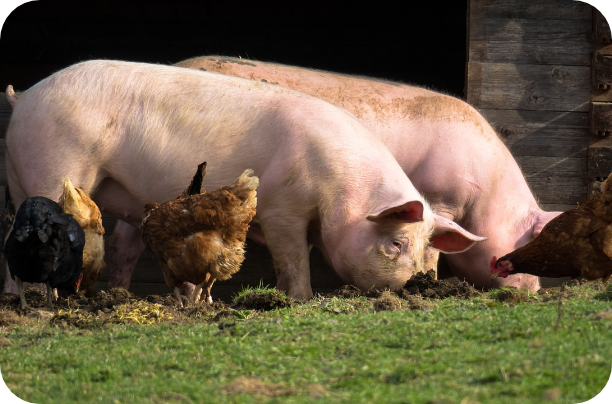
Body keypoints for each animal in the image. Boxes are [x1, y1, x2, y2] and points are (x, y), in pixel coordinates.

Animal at [3, 59, 482, 300]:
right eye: (396, 243)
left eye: (424, 248)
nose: (418, 285)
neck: (341, 190)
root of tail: (25, 96)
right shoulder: (282, 209)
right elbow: (294, 261)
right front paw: (300, 300)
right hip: (57, 165)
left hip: (20, 176)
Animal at [169, 55, 564, 292]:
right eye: (526, 243)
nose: (534, 291)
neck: (485, 194)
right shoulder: (439, 198)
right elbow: (432, 250)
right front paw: (431, 282)